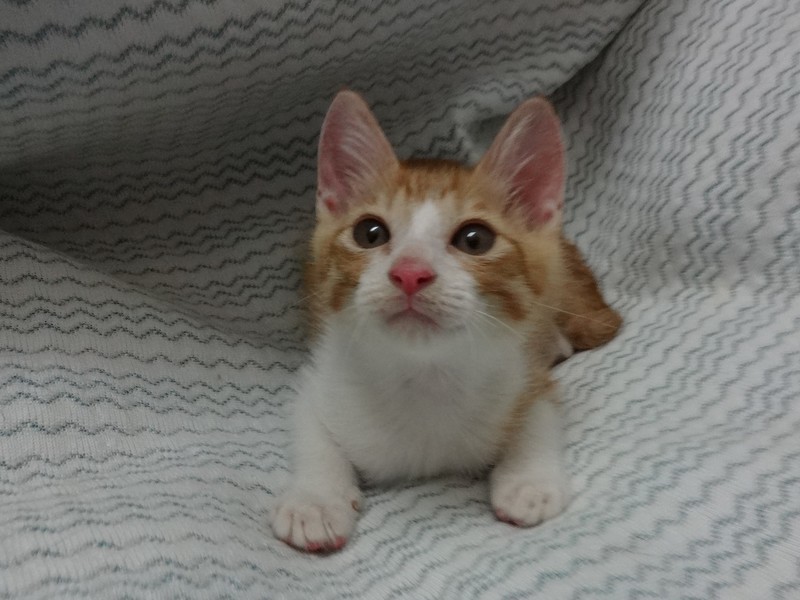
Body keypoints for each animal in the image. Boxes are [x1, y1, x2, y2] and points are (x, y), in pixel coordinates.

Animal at [271, 90, 621, 552]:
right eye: (369, 233)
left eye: (475, 239)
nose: (410, 273)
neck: (426, 377)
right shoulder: (320, 377)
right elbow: (310, 431)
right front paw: (315, 501)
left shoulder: (525, 375)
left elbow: (540, 414)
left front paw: (528, 483)